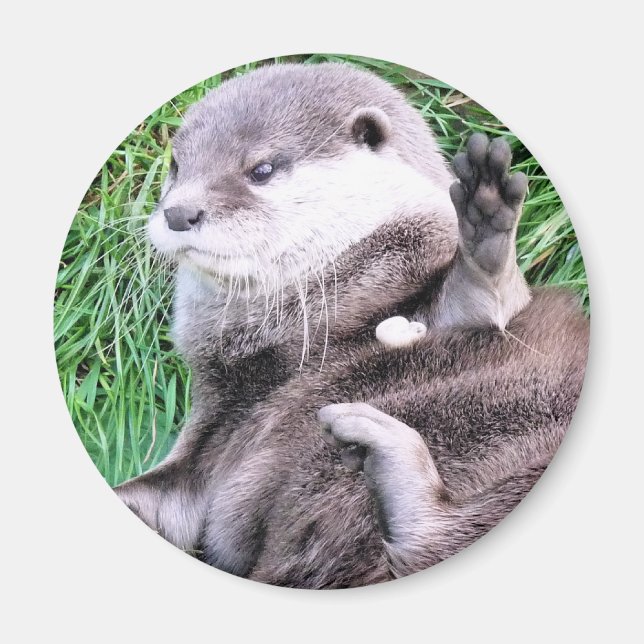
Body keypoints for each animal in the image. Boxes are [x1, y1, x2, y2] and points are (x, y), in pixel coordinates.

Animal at [115, 62, 589, 588]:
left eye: (261, 169)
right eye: (177, 166)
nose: (180, 212)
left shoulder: (437, 301)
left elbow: (486, 300)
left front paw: (486, 218)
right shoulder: (218, 423)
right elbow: (172, 499)